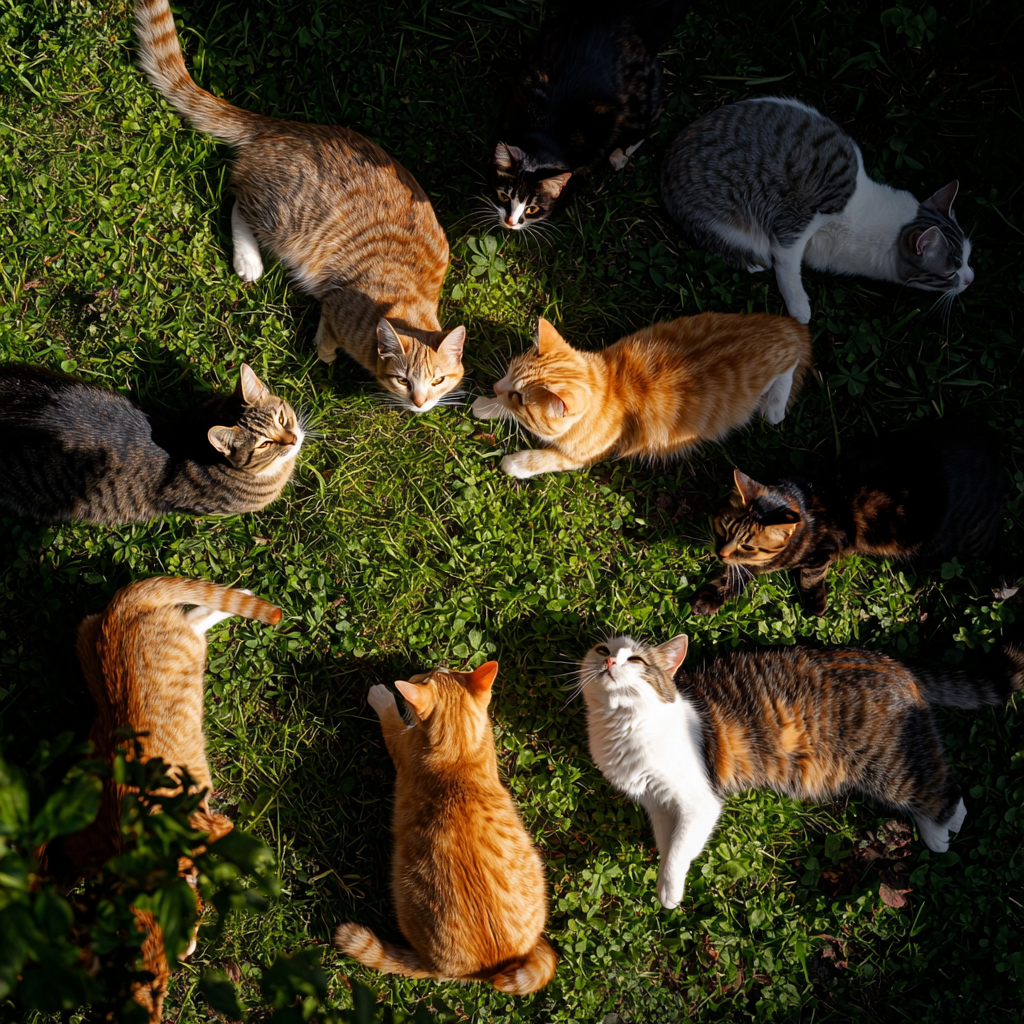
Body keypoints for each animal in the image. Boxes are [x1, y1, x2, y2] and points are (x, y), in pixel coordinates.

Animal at [473, 313, 815, 477]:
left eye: (521, 399)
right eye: (509, 370)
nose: (497, 388)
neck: (609, 388)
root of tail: (787, 324)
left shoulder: (583, 457)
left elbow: (545, 458)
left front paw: (515, 463)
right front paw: (486, 406)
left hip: (779, 368)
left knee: (788, 372)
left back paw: (774, 405)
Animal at [489, 1, 684, 230]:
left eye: (532, 208)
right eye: (503, 196)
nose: (510, 222)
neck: (545, 130)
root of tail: (635, 18)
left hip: (642, 100)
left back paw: (619, 156)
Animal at [581, 630, 1024, 913]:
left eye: (636, 659)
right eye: (601, 648)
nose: (609, 660)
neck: (624, 724)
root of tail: (894, 664)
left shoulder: (698, 801)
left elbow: (679, 848)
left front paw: (670, 888)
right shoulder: (657, 802)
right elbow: (668, 842)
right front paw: (666, 876)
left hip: (887, 764)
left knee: (944, 793)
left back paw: (940, 835)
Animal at [659, 95, 970, 321]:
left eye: (968, 256)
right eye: (950, 273)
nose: (970, 279)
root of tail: (669, 155)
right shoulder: (798, 218)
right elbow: (786, 264)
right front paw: (799, 308)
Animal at [692, 417, 1003, 614]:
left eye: (747, 545)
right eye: (724, 528)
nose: (720, 553)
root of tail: (988, 439)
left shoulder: (824, 550)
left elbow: (810, 575)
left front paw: (815, 605)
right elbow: (733, 576)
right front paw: (708, 598)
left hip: (965, 541)